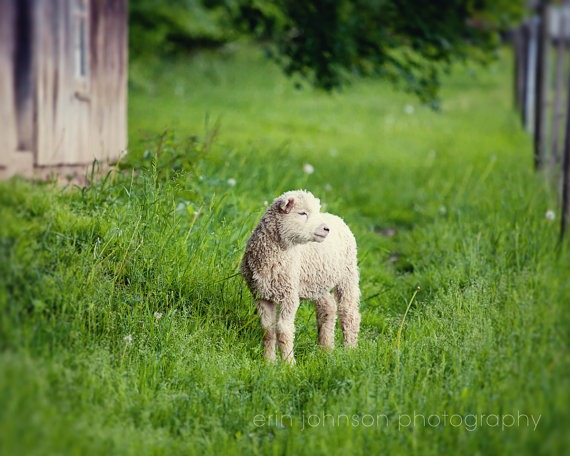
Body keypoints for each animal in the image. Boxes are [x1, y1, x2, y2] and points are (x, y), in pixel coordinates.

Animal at [240, 189, 360, 364]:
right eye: (302, 213)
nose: (326, 229)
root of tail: (337, 217)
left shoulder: (289, 295)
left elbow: (283, 329)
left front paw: (288, 364)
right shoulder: (261, 295)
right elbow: (267, 330)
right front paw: (269, 362)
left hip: (348, 273)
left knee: (349, 313)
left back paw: (350, 351)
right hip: (316, 282)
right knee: (328, 306)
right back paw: (326, 349)